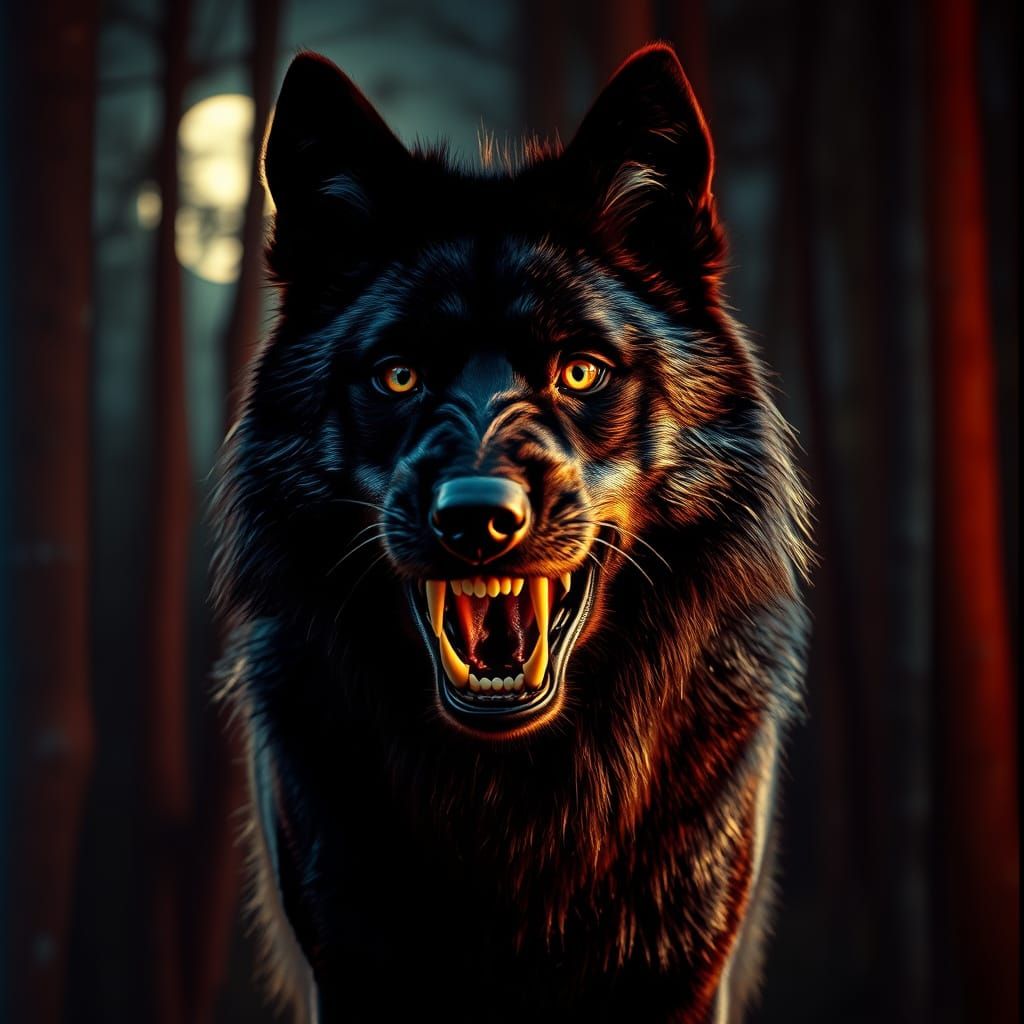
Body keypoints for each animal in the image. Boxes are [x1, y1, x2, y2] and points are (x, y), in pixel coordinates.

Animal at [212, 43, 811, 1023]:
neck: (514, 811)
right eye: (399, 375)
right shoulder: (347, 967)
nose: (477, 515)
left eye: (580, 372)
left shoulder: (688, 974)